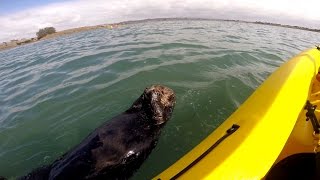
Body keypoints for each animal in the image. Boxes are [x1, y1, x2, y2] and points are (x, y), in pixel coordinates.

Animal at [17, 85, 176, 179]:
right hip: (42, 170)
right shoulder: (135, 108)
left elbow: (159, 113)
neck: (143, 114)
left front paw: (154, 96)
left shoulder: (159, 119)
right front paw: (146, 93)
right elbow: (136, 104)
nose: (152, 89)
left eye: (163, 91)